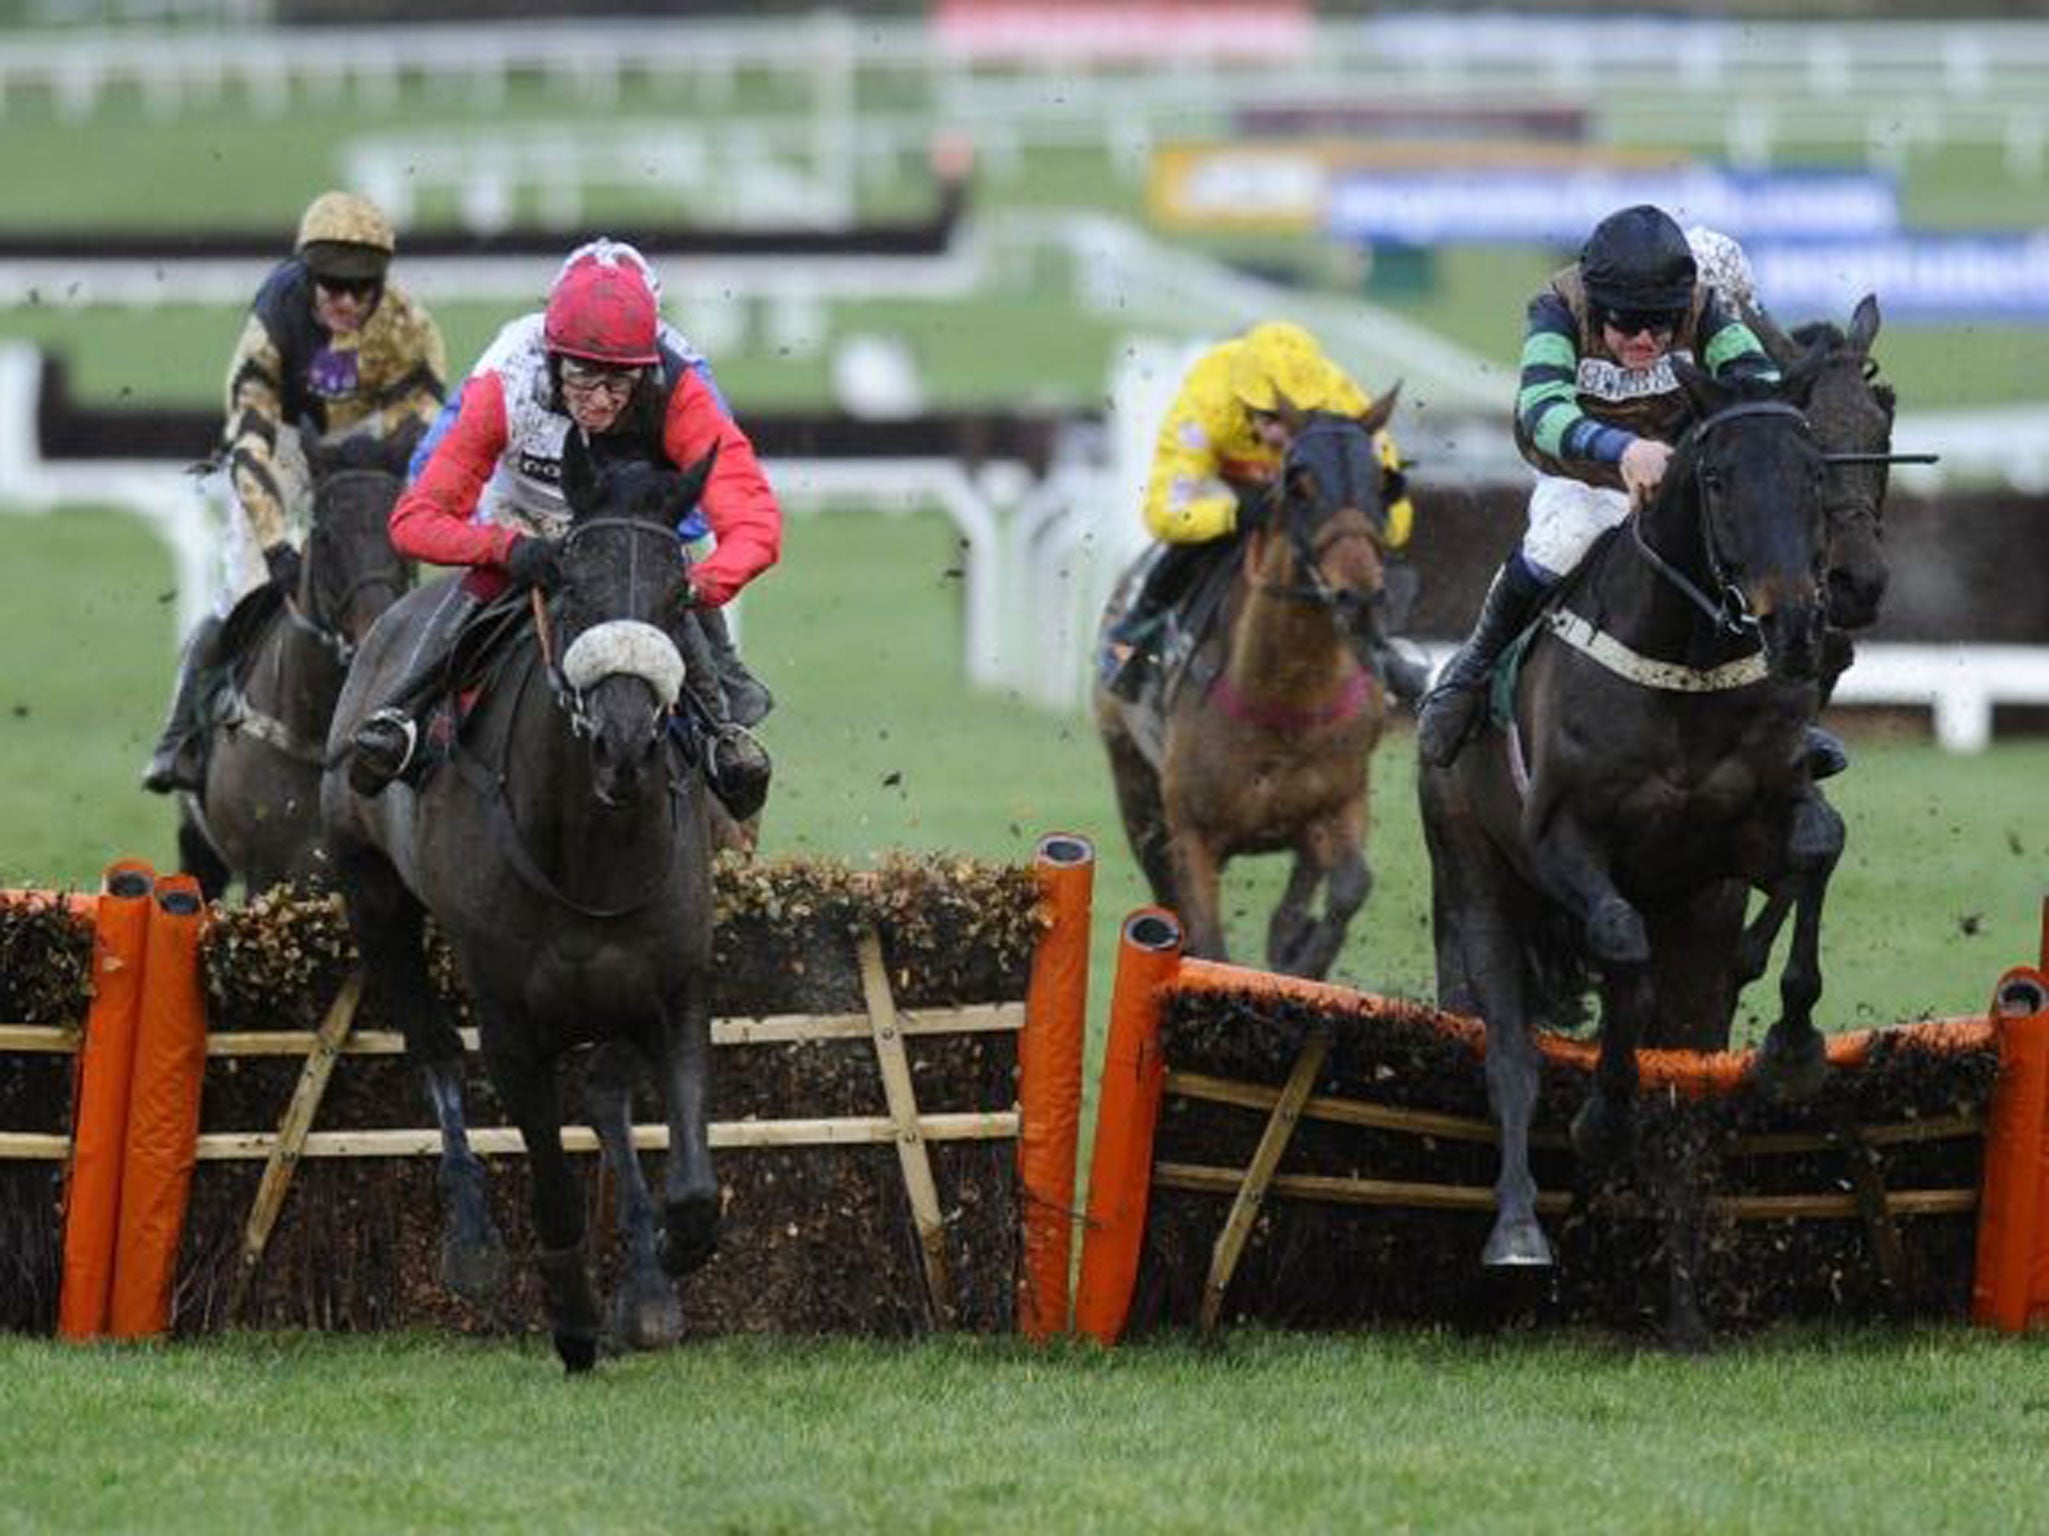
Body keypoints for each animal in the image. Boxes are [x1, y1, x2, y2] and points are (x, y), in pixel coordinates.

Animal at [319, 434, 721, 1368]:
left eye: (679, 595)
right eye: (569, 584)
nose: (623, 744)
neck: (588, 853)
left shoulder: (671, 982)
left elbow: (689, 1185)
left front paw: (660, 1263)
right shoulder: (509, 1016)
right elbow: (551, 1179)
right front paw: (571, 1315)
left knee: (606, 1094)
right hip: (371, 888)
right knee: (432, 1045)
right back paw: (471, 1240)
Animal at [1098, 393, 1401, 974]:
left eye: (1382, 483)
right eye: (1299, 485)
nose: (1361, 595)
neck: (1283, 694)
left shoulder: (1342, 799)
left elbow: (1351, 883)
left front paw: (1301, 954)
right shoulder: (1190, 836)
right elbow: (1208, 941)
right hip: (1132, 781)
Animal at [1426, 360, 1844, 1343]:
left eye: (1814, 474)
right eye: (1717, 479)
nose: (1796, 628)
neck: (1681, 660)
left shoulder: (1746, 834)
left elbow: (1817, 847)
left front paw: (1792, 1050)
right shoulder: (1559, 843)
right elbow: (1617, 941)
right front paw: (1604, 1116)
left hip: (1689, 918)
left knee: (1676, 1043)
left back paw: (1684, 1313)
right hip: (1474, 883)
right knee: (1509, 1055)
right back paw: (1516, 1232)